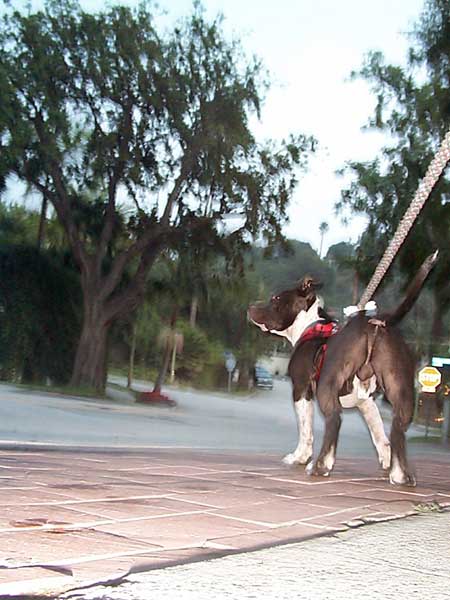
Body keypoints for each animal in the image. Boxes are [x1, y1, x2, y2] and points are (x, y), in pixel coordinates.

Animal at [248, 251, 438, 486]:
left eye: (275, 299)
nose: (250, 307)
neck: (311, 325)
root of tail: (375, 322)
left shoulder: (302, 390)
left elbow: (305, 430)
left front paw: (299, 457)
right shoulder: (367, 401)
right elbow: (378, 433)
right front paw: (386, 459)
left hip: (327, 385)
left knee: (334, 419)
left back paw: (321, 465)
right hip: (400, 387)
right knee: (398, 428)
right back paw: (400, 474)